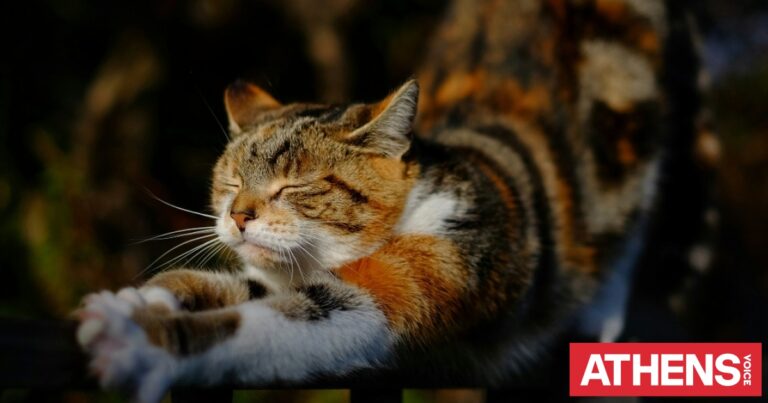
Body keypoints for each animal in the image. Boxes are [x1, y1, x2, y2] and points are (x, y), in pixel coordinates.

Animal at [75, 0, 712, 402]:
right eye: (230, 182)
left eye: (294, 186)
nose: (238, 216)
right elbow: (231, 290)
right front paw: (136, 299)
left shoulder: (438, 261)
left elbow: (264, 324)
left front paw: (141, 343)